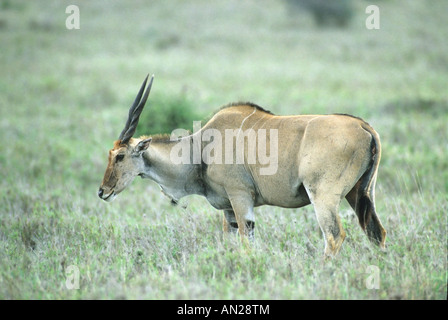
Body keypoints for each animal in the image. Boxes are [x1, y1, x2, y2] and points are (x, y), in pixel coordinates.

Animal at [98, 75, 384, 258]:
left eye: (120, 156)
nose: (102, 191)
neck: (202, 146)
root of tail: (363, 126)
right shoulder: (227, 209)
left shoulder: (240, 198)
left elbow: (247, 241)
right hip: (360, 194)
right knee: (376, 233)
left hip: (323, 196)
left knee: (334, 236)